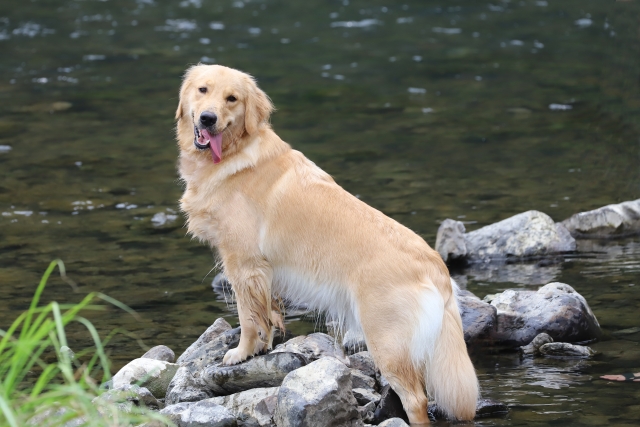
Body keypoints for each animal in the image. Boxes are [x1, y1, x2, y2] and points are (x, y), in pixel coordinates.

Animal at [172, 63, 478, 424]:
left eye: (231, 99)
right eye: (202, 90)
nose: (208, 119)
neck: (235, 155)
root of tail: (436, 266)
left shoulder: (243, 263)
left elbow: (248, 317)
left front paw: (241, 353)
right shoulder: (263, 270)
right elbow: (268, 314)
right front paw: (264, 345)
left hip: (387, 341)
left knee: (416, 399)